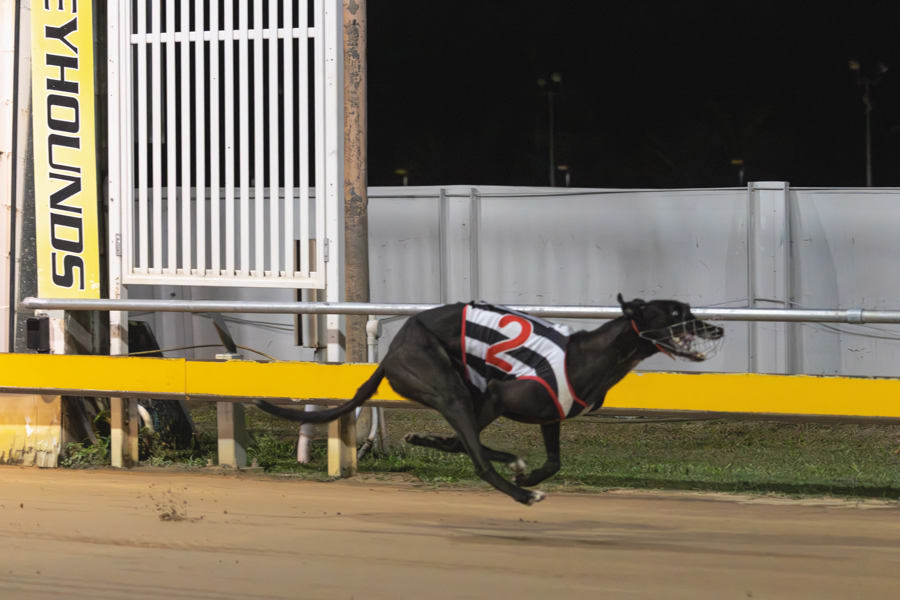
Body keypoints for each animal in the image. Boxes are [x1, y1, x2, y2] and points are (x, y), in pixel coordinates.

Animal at [256, 294, 724, 505]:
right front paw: (525, 484)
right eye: (676, 313)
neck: (589, 354)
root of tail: (389, 355)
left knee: (466, 443)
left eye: (688, 309)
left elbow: (553, 462)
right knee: (476, 456)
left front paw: (529, 475)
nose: (716, 329)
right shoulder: (500, 395)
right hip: (450, 389)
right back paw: (519, 493)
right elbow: (475, 450)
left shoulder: (550, 414)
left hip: (462, 391)